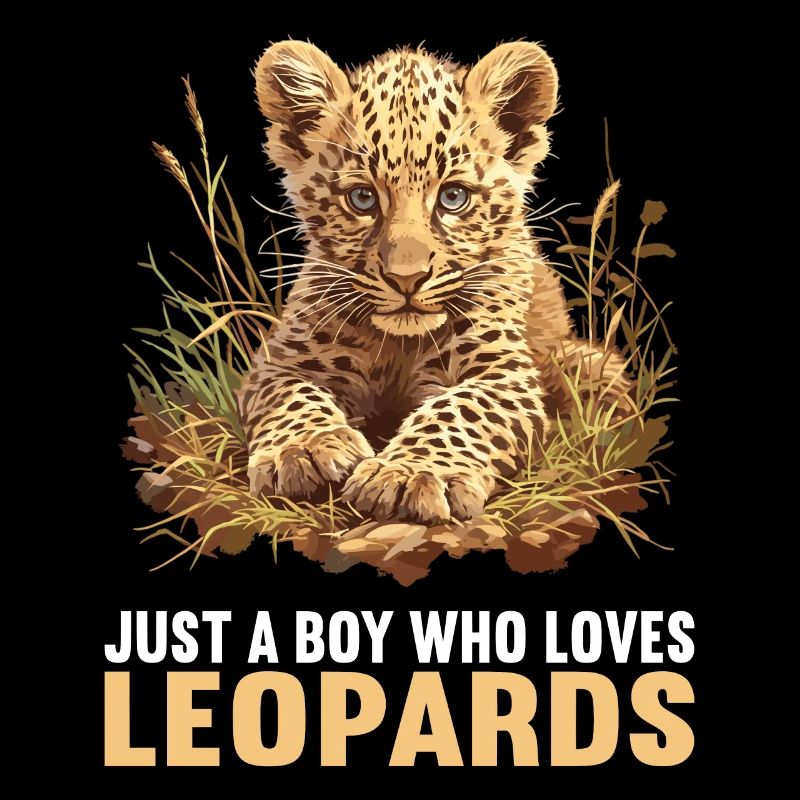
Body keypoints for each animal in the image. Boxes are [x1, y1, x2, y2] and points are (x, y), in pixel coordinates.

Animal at [237, 39, 631, 525]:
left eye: (453, 197)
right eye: (362, 198)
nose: (406, 279)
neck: (398, 346)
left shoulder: (500, 372)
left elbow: (460, 410)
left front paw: (411, 475)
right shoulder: (282, 361)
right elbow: (292, 396)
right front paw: (304, 450)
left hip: (585, 362)